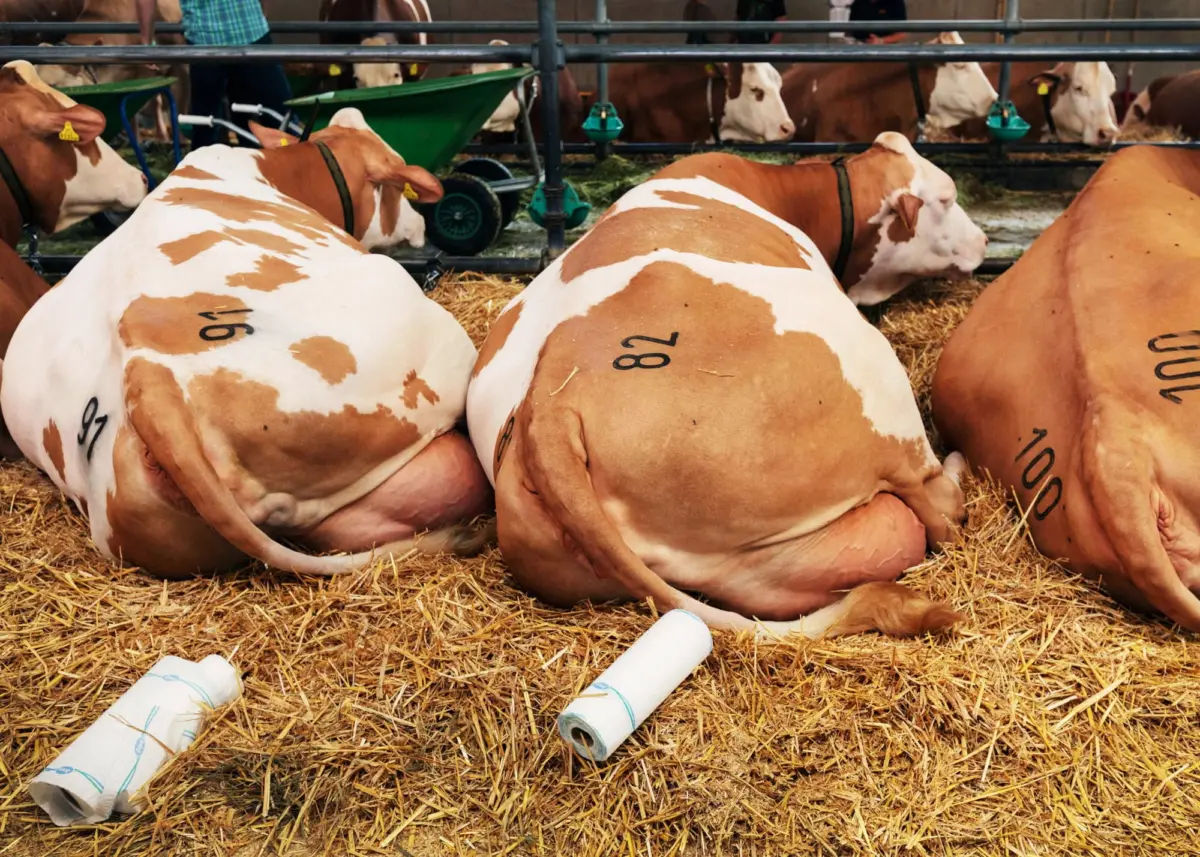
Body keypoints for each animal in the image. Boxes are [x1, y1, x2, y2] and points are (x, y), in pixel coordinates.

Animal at [466, 132, 988, 638]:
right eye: (946, 197)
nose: (984, 241)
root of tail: (551, 398)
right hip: (877, 388)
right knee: (936, 510)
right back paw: (957, 467)